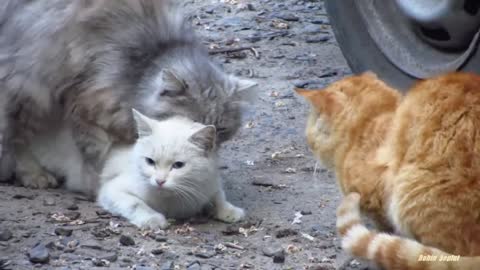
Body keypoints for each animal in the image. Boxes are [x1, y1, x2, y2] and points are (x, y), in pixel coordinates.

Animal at [0, 0, 256, 188]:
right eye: (187, 124)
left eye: (221, 129)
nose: (208, 146)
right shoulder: (86, 106)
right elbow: (96, 155)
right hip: (33, 89)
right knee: (17, 137)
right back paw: (33, 175)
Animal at [97, 109, 248, 228]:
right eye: (150, 161)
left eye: (178, 165)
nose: (159, 181)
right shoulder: (112, 189)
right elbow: (135, 203)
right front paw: (152, 219)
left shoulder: (209, 180)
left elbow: (218, 195)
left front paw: (229, 210)